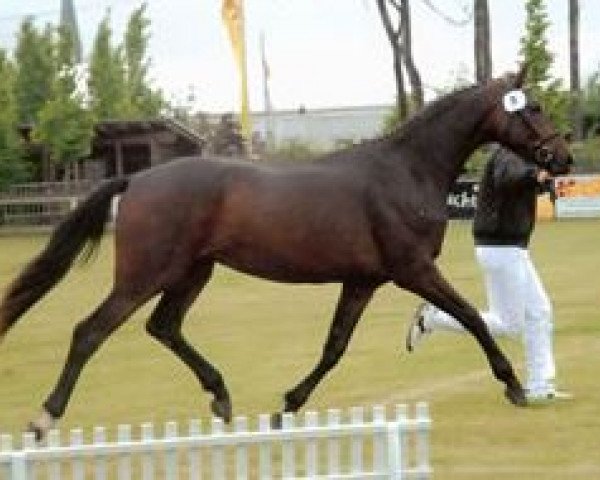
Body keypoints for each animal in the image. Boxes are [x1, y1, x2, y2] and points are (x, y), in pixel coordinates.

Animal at [1, 66, 572, 438]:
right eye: (533, 107)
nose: (562, 159)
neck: (405, 171)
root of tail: (137, 179)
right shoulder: (413, 269)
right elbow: (471, 317)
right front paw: (515, 386)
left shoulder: (362, 280)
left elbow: (334, 346)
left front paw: (288, 407)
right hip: (146, 274)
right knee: (90, 331)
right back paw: (44, 417)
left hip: (193, 272)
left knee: (163, 326)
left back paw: (221, 397)